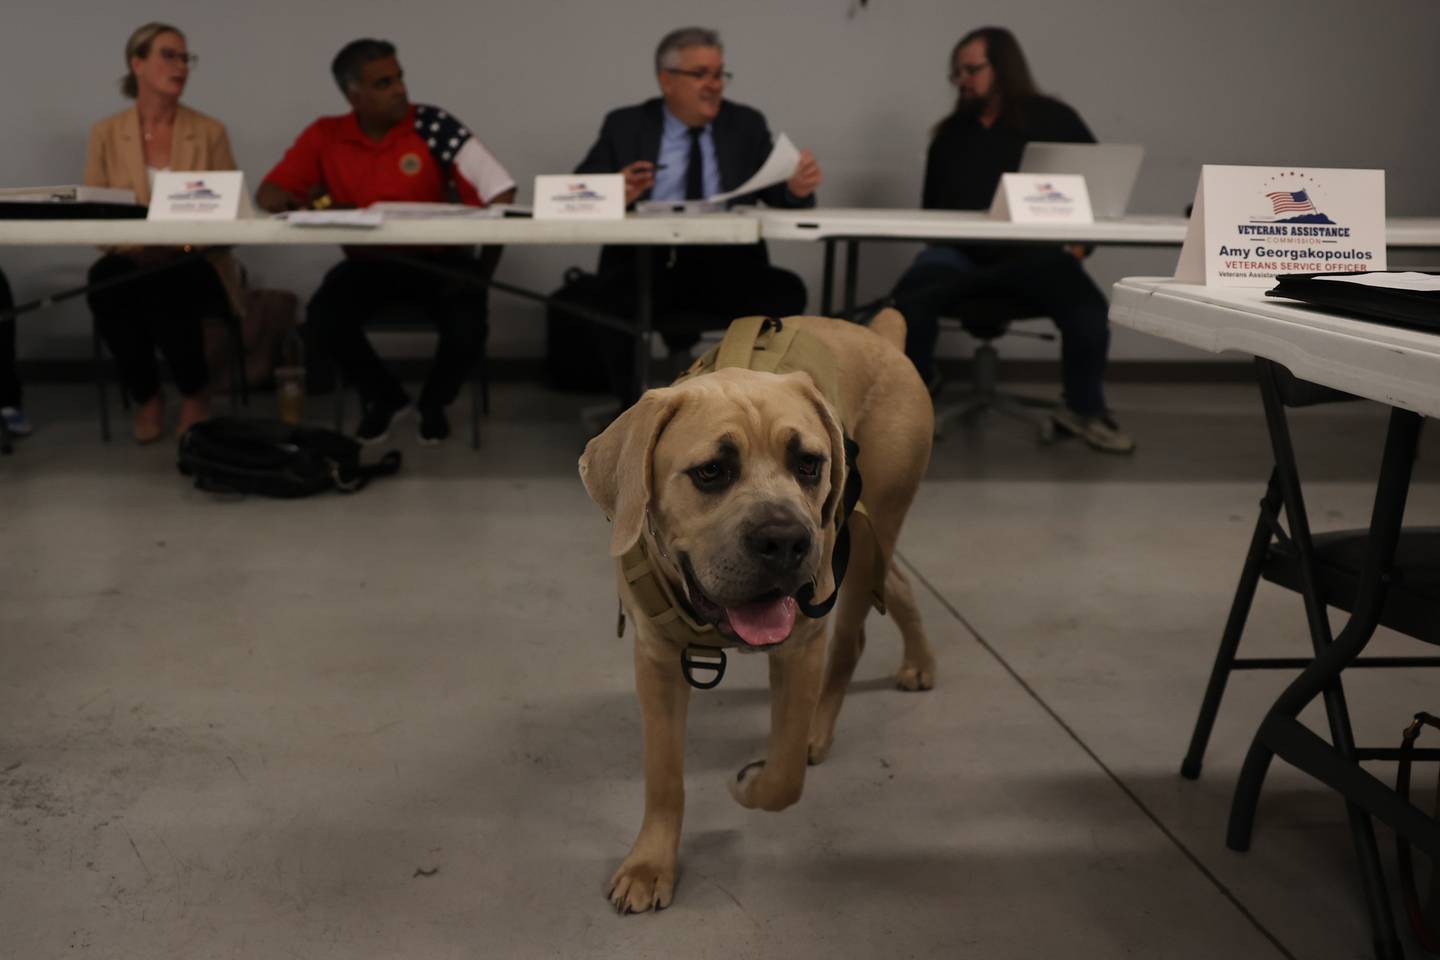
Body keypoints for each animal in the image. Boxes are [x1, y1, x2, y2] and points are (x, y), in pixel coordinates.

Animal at [581, 312, 933, 915]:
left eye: (809, 464)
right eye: (711, 472)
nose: (786, 540)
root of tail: (881, 338)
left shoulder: (799, 647)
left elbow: (784, 776)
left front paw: (750, 784)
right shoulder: (656, 660)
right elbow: (663, 775)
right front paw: (651, 863)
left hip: (866, 535)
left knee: (852, 642)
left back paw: (822, 726)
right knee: (900, 585)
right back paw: (920, 661)